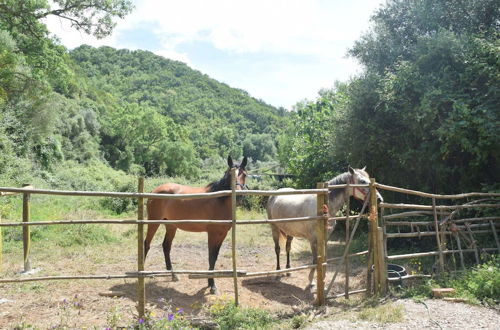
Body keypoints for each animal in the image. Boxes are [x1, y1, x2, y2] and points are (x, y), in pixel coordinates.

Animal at [144, 155, 247, 294]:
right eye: (230, 175)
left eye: (244, 174)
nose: (239, 195)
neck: (219, 200)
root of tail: (155, 190)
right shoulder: (212, 234)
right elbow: (211, 257)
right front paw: (212, 286)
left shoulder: (222, 234)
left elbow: (214, 257)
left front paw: (210, 284)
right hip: (153, 222)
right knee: (146, 244)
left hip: (171, 226)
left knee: (166, 246)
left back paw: (173, 275)